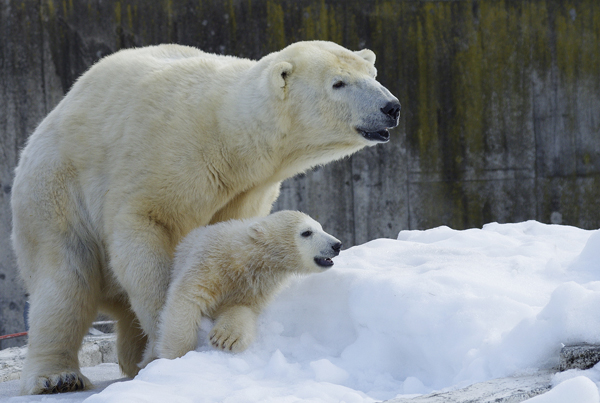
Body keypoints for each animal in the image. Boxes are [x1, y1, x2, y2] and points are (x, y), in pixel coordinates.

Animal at [11, 40, 398, 394]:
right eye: (338, 83)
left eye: (373, 74)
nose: (391, 106)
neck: (226, 132)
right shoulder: (165, 156)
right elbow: (144, 233)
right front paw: (167, 346)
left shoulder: (247, 189)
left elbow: (230, 240)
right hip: (54, 194)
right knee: (64, 280)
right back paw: (57, 376)